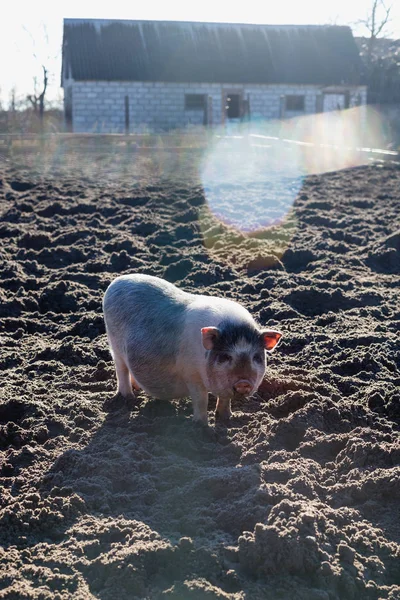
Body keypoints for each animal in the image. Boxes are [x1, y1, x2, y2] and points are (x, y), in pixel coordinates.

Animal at [103, 274, 282, 424]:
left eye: (256, 357)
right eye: (225, 357)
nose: (243, 382)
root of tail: (115, 282)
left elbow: (225, 399)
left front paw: (226, 418)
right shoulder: (191, 375)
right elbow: (201, 400)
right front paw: (201, 426)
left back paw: (137, 389)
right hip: (114, 344)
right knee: (121, 371)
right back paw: (129, 398)